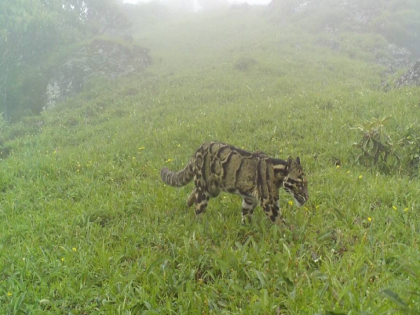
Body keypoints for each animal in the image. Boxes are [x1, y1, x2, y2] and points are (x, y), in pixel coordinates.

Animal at [161, 142, 308, 226]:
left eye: (306, 183)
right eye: (300, 183)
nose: (307, 197)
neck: (277, 171)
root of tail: (198, 149)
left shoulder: (250, 198)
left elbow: (246, 214)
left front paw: (247, 228)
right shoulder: (269, 202)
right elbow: (280, 222)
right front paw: (291, 235)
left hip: (212, 189)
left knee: (194, 190)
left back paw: (188, 202)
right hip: (205, 190)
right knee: (198, 210)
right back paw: (199, 225)